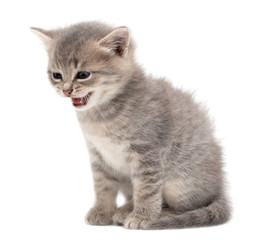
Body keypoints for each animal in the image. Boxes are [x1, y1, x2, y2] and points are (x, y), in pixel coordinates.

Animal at [31, 21, 230, 230]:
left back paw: (154, 214)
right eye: (57, 75)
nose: (66, 90)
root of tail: (219, 188)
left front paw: (143, 215)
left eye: (83, 74)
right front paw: (103, 211)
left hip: (180, 182)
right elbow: (103, 186)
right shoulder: (98, 154)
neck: (101, 116)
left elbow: (146, 189)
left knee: (189, 205)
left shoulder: (147, 152)